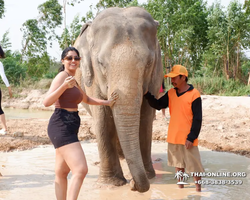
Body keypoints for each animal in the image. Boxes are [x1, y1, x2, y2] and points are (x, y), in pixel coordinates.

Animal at [73, 7, 164, 193]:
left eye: (149, 63)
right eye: (100, 63)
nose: (133, 184)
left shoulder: (155, 76)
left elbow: (145, 120)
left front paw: (149, 176)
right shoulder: (93, 79)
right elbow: (103, 121)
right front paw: (111, 184)